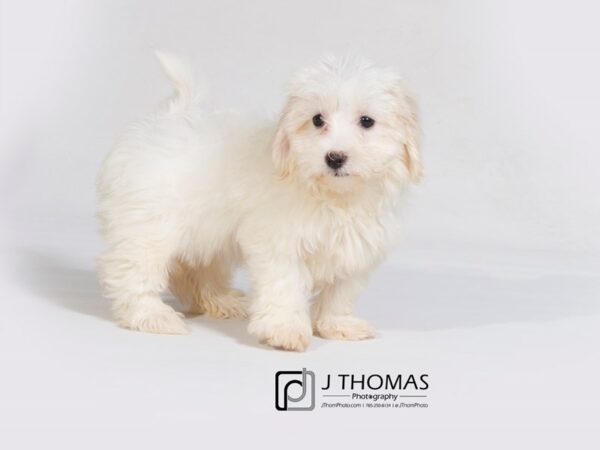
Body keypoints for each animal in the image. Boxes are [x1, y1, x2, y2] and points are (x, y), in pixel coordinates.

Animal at [96, 51, 420, 350]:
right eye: (317, 120)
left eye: (367, 121)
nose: (335, 157)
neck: (334, 196)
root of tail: (165, 119)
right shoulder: (279, 243)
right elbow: (284, 286)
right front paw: (285, 329)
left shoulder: (356, 250)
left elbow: (341, 291)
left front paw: (337, 325)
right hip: (149, 225)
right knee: (134, 271)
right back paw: (151, 315)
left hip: (209, 233)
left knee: (200, 269)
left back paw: (222, 301)